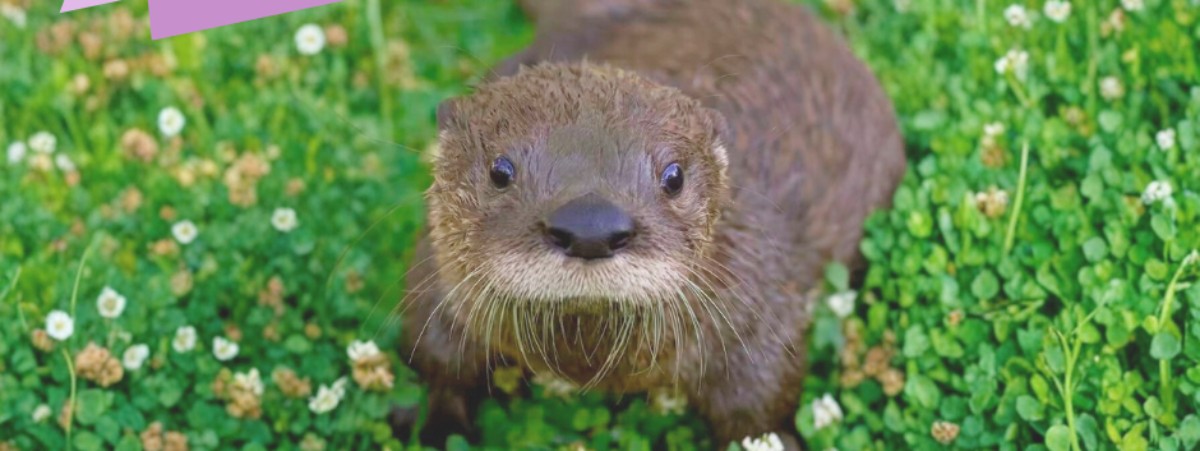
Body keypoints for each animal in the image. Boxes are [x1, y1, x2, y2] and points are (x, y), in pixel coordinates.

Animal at [398, 0, 906, 447]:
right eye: (500, 170)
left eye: (673, 176)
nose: (590, 226)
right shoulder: (436, 285)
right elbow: (436, 360)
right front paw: (432, 427)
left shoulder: (758, 317)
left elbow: (761, 409)